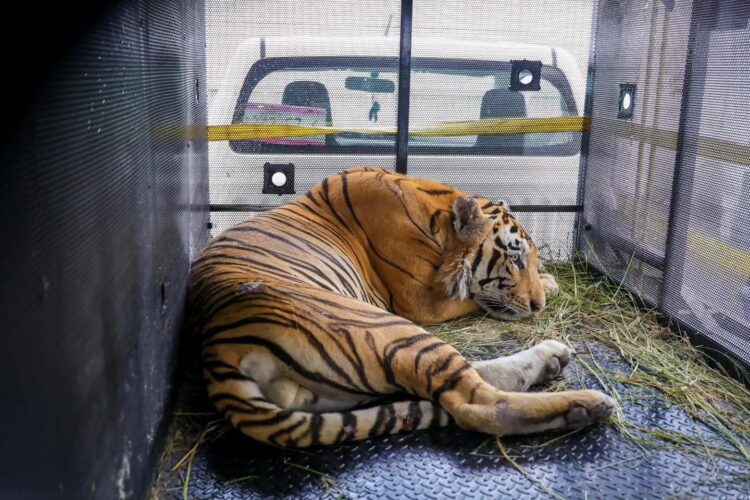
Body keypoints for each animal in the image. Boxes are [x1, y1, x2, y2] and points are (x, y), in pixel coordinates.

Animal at [189, 168, 615, 447]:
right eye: (515, 259)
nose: (538, 305)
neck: (436, 214)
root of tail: (216, 350)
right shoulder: (420, 302)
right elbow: (473, 298)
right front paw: (551, 284)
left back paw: (553, 358)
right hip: (381, 324)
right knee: (477, 404)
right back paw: (585, 405)